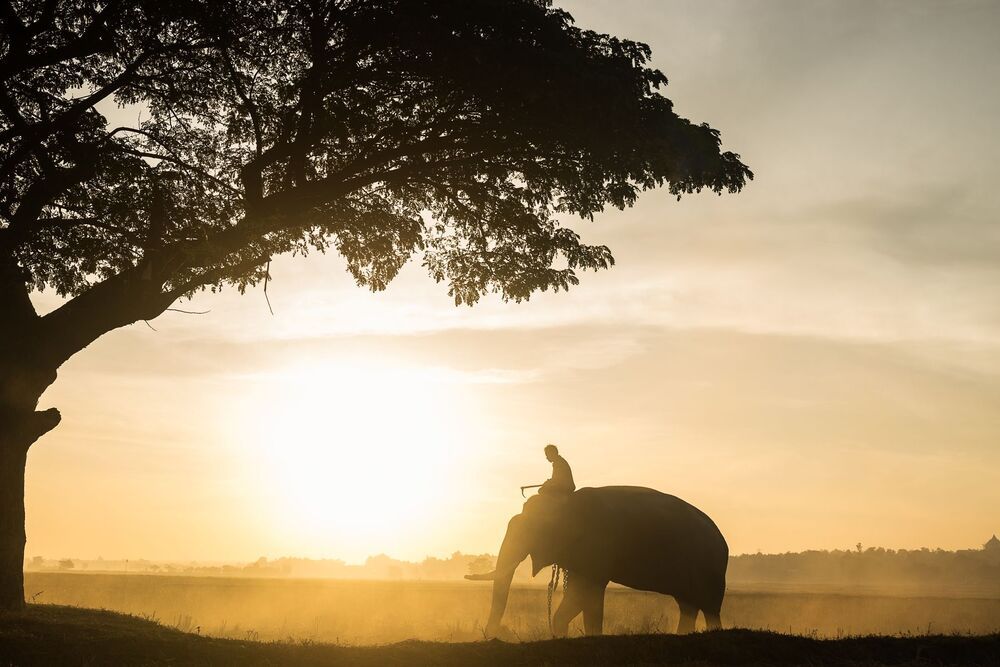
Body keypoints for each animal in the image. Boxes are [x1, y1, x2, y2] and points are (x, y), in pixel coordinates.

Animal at [465, 486, 728, 637]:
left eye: (528, 532)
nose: (491, 636)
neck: (564, 504)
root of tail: (722, 539)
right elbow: (579, 594)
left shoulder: (597, 546)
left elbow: (585, 592)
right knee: (687, 604)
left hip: (710, 566)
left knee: (709, 605)